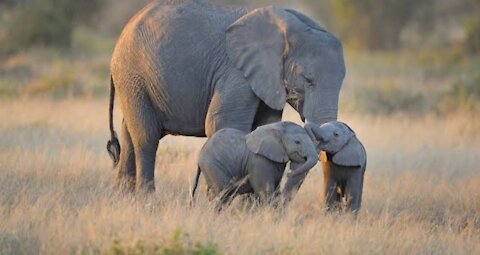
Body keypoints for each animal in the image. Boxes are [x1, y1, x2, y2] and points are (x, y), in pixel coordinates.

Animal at [106, 0, 344, 191]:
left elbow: (264, 126)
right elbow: (222, 124)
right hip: (132, 74)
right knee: (146, 136)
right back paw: (146, 199)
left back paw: (123, 198)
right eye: (307, 79)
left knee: (129, 133)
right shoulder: (236, 73)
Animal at [190, 121, 318, 207]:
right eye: (297, 142)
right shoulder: (258, 161)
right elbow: (265, 192)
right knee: (223, 194)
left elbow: (274, 190)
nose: (289, 173)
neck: (276, 127)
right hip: (213, 166)